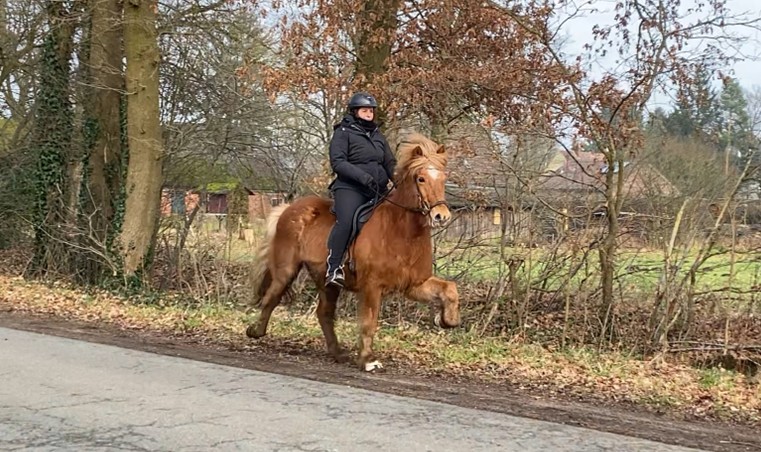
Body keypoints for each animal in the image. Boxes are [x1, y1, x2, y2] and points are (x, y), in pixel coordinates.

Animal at [245, 132, 461, 372]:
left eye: (443, 178)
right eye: (421, 179)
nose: (441, 216)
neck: (400, 231)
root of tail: (289, 209)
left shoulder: (413, 285)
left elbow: (450, 289)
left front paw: (447, 320)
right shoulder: (372, 286)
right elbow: (369, 322)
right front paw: (368, 360)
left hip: (325, 280)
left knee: (324, 313)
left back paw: (337, 352)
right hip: (286, 270)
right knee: (271, 298)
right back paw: (255, 331)